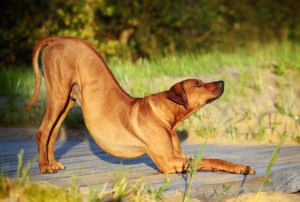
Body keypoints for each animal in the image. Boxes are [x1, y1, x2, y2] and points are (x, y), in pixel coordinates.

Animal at [26, 36, 255, 175]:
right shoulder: (169, 162)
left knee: (52, 132)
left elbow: (214, 159)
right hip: (59, 93)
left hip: (68, 98)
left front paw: (240, 167)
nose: (222, 82)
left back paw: (52, 163)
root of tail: (58, 38)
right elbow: (203, 160)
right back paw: (44, 167)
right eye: (198, 84)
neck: (166, 116)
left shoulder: (179, 156)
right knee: (42, 131)